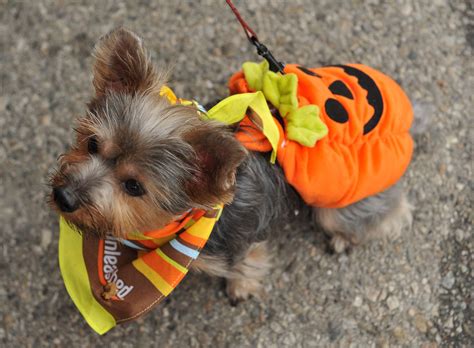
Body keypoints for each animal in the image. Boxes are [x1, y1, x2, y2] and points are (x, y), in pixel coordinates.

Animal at [47, 27, 412, 304]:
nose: (64, 197)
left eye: (134, 186)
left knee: (389, 211)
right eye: (92, 144)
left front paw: (242, 287)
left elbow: (247, 262)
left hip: (338, 201)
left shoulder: (239, 242)